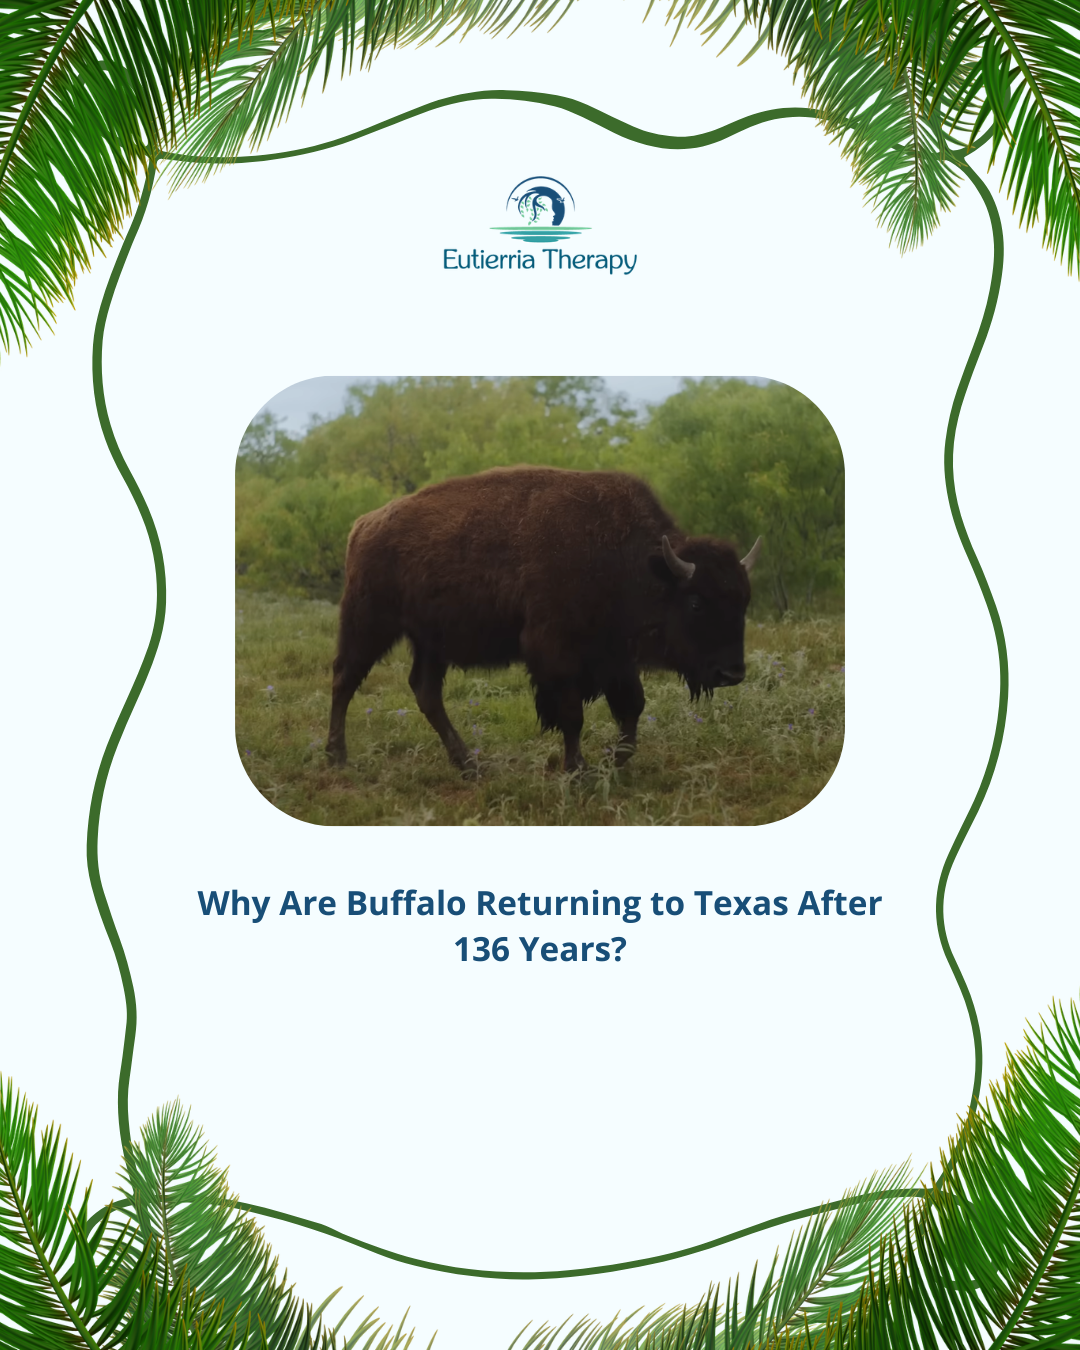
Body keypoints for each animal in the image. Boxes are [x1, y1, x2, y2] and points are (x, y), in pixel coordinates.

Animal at [326, 467, 761, 773]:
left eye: (744, 601)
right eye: (696, 603)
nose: (732, 673)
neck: (629, 560)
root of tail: (364, 525)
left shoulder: (614, 656)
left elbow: (632, 706)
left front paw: (613, 760)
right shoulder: (555, 653)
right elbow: (571, 715)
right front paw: (578, 769)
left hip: (431, 640)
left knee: (426, 692)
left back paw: (470, 765)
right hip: (369, 624)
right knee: (344, 680)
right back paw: (337, 757)